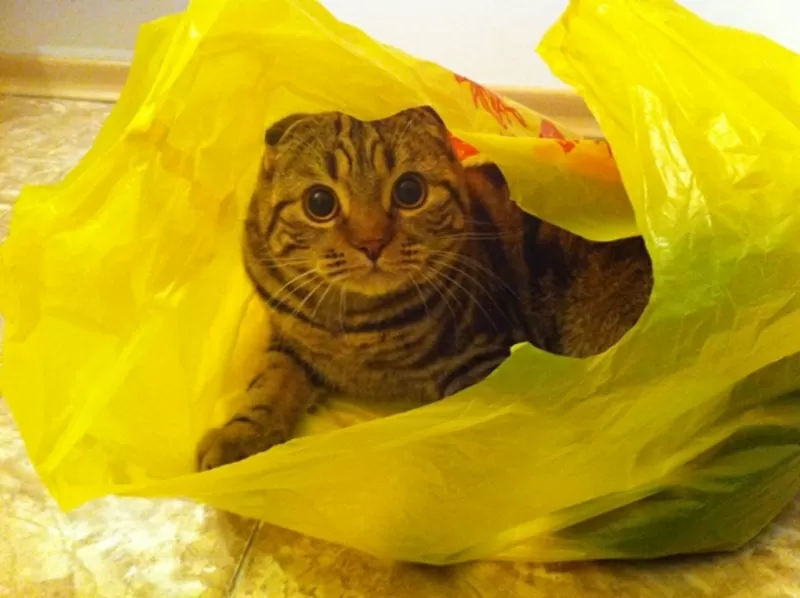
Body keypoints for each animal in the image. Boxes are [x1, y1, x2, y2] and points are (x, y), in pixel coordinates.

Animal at [197, 108, 652, 474]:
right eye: (320, 202)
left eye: (409, 191)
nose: (372, 242)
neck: (356, 328)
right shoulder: (288, 344)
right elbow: (267, 384)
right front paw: (238, 436)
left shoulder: (481, 360)